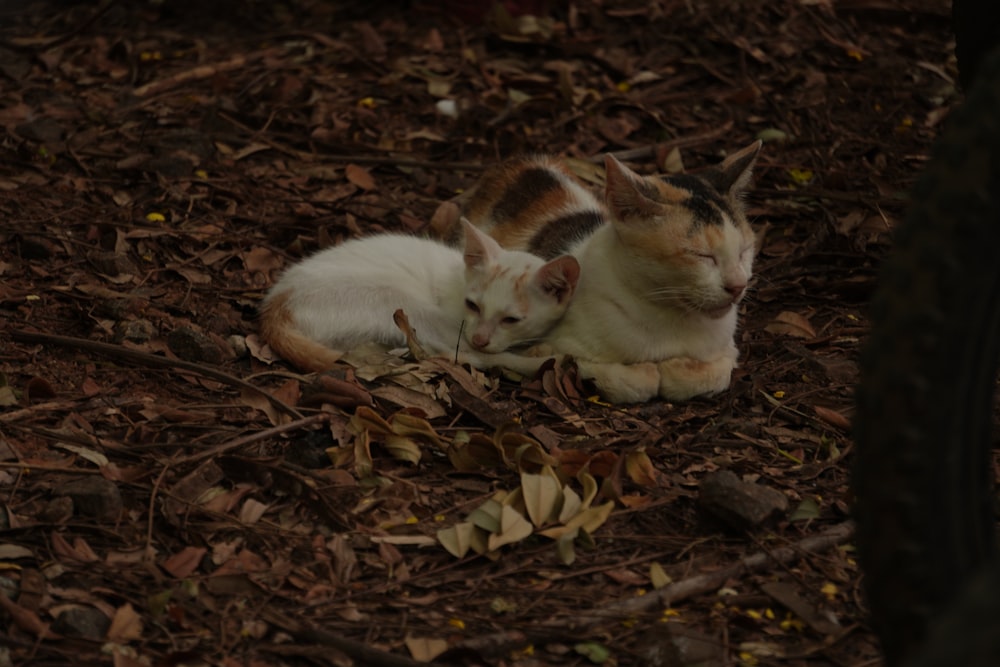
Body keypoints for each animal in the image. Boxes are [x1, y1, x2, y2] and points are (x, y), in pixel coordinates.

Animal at [464, 142, 760, 402]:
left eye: (745, 251)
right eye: (702, 256)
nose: (738, 285)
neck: (670, 318)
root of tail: (523, 159)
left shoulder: (728, 349)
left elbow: (718, 373)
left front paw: (675, 369)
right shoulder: (551, 350)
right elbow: (627, 379)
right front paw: (652, 371)